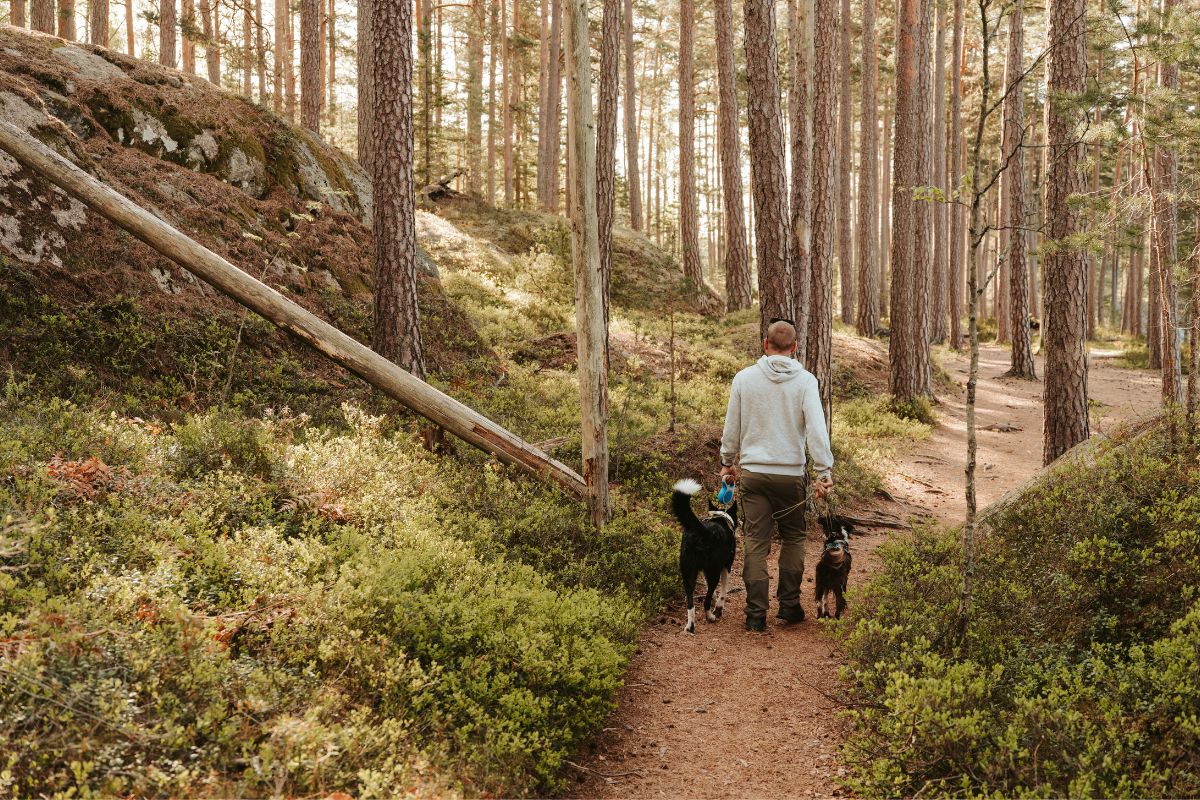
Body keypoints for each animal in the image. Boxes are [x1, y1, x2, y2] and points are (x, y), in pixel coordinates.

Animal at [672, 479, 734, 633]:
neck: (720, 519)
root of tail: (702, 531)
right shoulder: (726, 567)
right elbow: (723, 592)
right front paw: (719, 607)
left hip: (688, 574)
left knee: (690, 604)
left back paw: (690, 626)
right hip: (713, 572)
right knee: (706, 600)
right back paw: (710, 616)